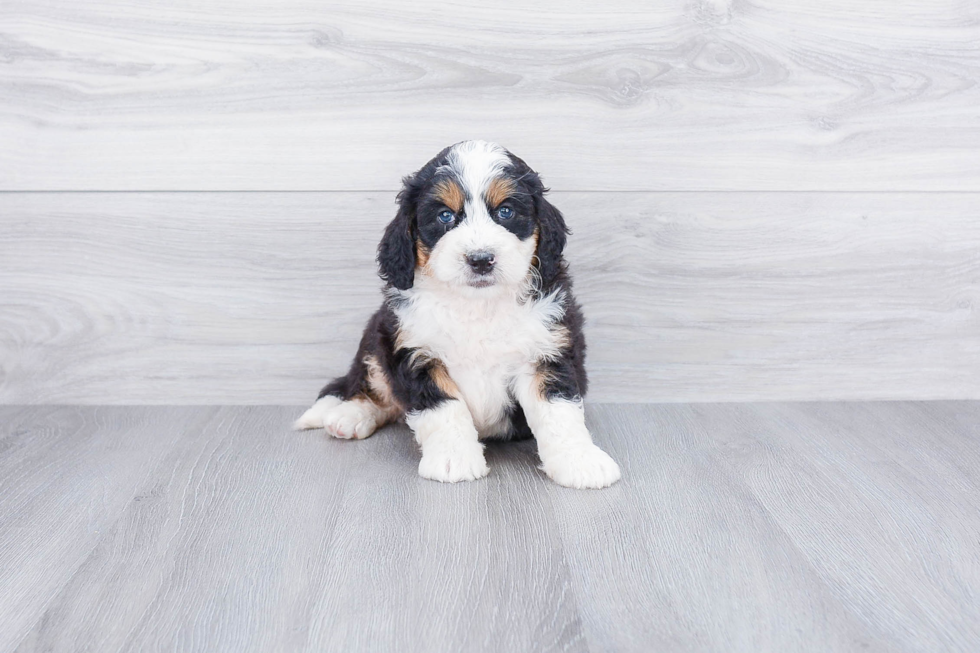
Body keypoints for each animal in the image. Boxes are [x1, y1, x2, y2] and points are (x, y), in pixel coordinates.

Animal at [294, 140, 624, 486]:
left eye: (505, 211)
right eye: (444, 215)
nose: (480, 259)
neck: (477, 304)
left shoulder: (547, 351)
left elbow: (559, 410)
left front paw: (580, 460)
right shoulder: (415, 353)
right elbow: (444, 409)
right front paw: (453, 459)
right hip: (377, 336)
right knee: (371, 384)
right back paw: (348, 415)